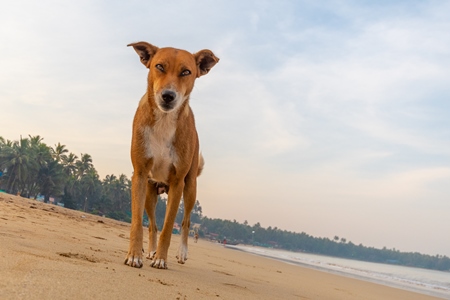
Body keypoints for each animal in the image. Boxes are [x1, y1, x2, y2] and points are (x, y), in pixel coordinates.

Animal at [125, 42, 220, 270]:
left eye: (186, 72)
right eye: (159, 66)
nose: (168, 96)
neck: (164, 119)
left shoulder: (178, 183)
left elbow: (169, 227)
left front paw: (161, 258)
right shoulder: (140, 175)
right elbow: (138, 222)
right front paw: (135, 255)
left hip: (191, 187)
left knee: (185, 221)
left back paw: (181, 252)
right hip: (150, 191)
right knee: (152, 224)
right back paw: (150, 250)